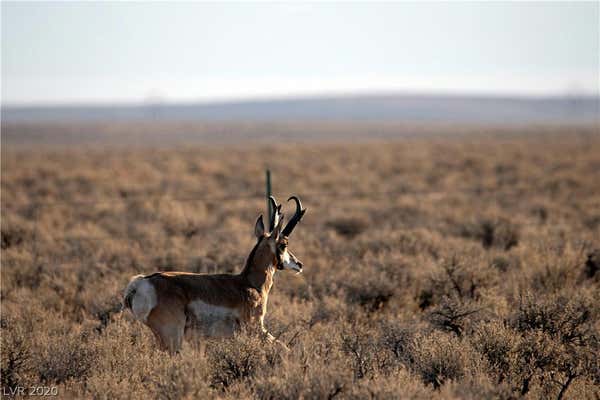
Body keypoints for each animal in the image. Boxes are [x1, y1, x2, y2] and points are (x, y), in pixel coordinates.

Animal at [123, 195, 308, 352]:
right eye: (284, 244)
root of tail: (141, 282)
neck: (249, 283)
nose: (299, 264)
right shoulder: (256, 327)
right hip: (172, 337)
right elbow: (283, 347)